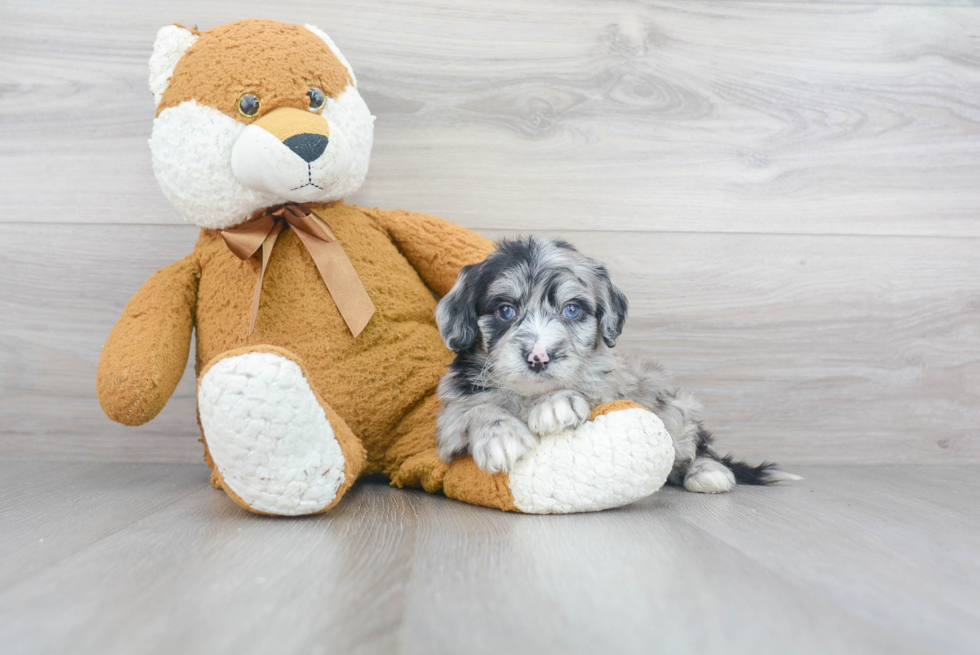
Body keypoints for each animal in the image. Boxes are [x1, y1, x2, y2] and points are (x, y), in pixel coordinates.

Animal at [436, 236, 796, 492]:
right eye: (505, 310)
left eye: (572, 310)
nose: (538, 357)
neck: (529, 395)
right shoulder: (448, 426)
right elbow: (476, 410)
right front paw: (502, 436)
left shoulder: (617, 388)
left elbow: (589, 388)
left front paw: (556, 404)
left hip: (672, 404)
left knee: (696, 443)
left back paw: (708, 472)